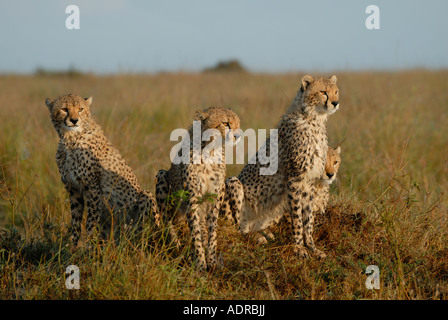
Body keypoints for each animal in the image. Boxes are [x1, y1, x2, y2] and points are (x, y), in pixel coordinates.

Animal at [45, 94, 158, 244]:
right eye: (64, 109)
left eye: (80, 109)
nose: (74, 120)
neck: (70, 139)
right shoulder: (73, 188)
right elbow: (76, 221)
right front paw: (73, 245)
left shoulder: (92, 187)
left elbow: (91, 221)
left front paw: (88, 245)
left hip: (145, 197)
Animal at [158, 107, 242, 270]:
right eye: (225, 123)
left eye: (237, 123)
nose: (238, 135)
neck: (211, 150)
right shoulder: (192, 197)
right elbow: (195, 232)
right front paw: (201, 264)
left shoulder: (215, 197)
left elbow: (212, 231)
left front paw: (212, 260)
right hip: (162, 176)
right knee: (168, 223)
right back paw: (176, 244)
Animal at [220, 75, 340, 260]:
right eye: (323, 92)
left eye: (336, 92)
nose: (335, 102)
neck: (314, 119)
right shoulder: (294, 180)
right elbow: (297, 217)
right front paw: (298, 248)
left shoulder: (310, 183)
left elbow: (308, 220)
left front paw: (312, 248)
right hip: (233, 184)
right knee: (236, 228)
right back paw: (252, 237)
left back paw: (262, 234)